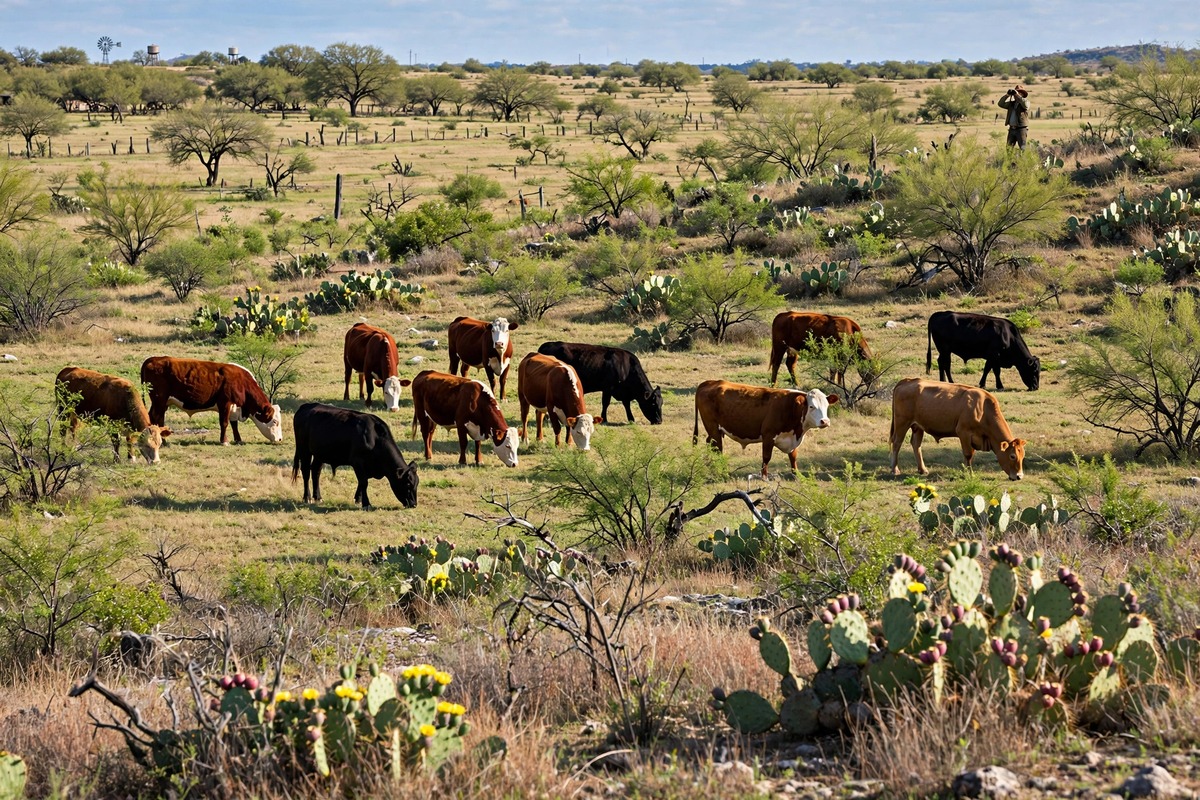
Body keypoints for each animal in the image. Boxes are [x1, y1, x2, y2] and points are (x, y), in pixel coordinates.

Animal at [140, 357, 283, 446]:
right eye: (275, 422)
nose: (280, 439)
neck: (241, 382)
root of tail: (152, 359)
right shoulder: (225, 403)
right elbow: (224, 423)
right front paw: (224, 441)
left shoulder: (234, 407)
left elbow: (234, 424)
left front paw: (238, 440)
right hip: (159, 399)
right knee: (156, 417)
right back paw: (162, 441)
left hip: (162, 402)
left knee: (156, 417)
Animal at [693, 380, 838, 477]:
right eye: (811, 406)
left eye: (826, 406)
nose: (825, 421)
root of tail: (709, 382)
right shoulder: (768, 435)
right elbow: (766, 457)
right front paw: (764, 477)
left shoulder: (792, 437)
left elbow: (793, 457)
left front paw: (796, 474)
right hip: (713, 427)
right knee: (718, 448)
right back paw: (721, 470)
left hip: (714, 430)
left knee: (710, 443)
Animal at [889, 378, 1026, 480]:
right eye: (1012, 456)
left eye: (1023, 455)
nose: (1019, 476)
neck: (982, 409)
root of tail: (907, 380)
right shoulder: (963, 432)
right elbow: (968, 454)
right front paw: (969, 474)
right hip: (902, 423)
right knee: (897, 443)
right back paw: (894, 469)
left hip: (918, 426)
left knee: (916, 444)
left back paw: (922, 469)